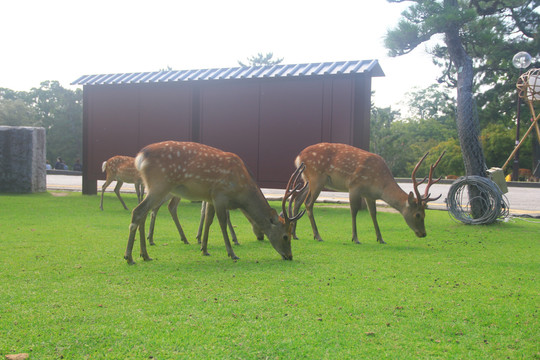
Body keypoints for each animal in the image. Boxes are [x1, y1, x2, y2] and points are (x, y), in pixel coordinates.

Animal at [124, 141, 306, 264]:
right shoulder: (220, 195)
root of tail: (141, 156)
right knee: (138, 211)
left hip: (154, 187)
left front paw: (204, 249)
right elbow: (222, 223)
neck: (241, 192)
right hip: (160, 184)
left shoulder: (210, 197)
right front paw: (232, 253)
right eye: (285, 236)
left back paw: (145, 255)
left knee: (144, 213)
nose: (289, 256)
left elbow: (208, 220)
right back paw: (129, 256)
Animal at [294, 143, 446, 245]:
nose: (423, 233)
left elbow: (373, 214)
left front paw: (380, 238)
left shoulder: (369, 195)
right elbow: (354, 211)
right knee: (308, 203)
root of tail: (298, 157)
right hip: (317, 178)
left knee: (297, 199)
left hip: (308, 180)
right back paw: (317, 235)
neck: (380, 186)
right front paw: (355, 238)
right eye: (418, 214)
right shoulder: (354, 186)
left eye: (425, 214)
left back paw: (295, 234)